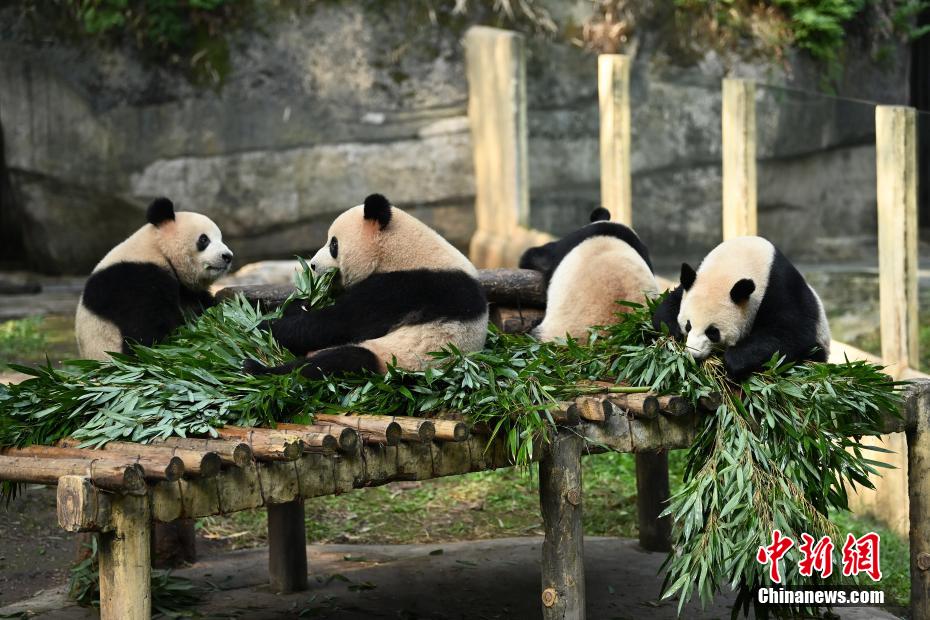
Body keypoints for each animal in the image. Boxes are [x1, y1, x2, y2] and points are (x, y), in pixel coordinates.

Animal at [75, 199, 232, 358]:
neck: (158, 249)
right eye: (204, 239)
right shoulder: (132, 281)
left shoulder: (186, 290)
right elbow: (145, 334)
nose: (227, 256)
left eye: (220, 238)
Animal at [243, 194, 490, 378]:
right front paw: (299, 304)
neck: (402, 251)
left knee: (340, 361)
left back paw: (258, 369)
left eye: (333, 244)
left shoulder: (404, 288)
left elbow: (339, 323)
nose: (312, 265)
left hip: (397, 359)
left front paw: (263, 326)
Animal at [648, 237, 832, 382]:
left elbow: (790, 333)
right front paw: (673, 331)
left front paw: (733, 360)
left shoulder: (780, 287)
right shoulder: (694, 280)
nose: (694, 354)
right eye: (688, 325)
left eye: (712, 332)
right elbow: (668, 304)